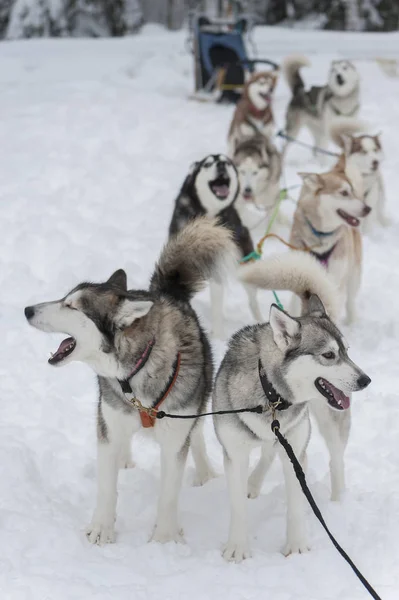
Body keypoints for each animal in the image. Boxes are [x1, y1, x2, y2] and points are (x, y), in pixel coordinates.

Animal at [25, 219, 238, 544]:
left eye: (72, 306)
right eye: (64, 299)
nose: (27, 310)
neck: (136, 369)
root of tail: (166, 292)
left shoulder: (175, 438)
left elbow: (168, 494)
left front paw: (164, 539)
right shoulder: (108, 428)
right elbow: (105, 486)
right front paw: (101, 528)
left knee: (198, 435)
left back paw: (203, 472)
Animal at [169, 152, 262, 340]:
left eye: (227, 162)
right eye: (207, 164)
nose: (221, 165)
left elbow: (217, 307)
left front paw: (218, 336)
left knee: (253, 300)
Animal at [214, 255, 370, 560]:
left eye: (347, 351)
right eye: (329, 355)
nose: (365, 380)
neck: (270, 393)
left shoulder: (295, 449)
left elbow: (297, 503)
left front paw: (296, 546)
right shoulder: (235, 453)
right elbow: (238, 507)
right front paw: (237, 548)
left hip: (329, 423)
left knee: (336, 460)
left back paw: (338, 501)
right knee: (268, 451)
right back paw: (254, 482)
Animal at [290, 156, 370, 324]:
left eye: (353, 192)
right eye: (344, 193)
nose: (367, 209)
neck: (321, 236)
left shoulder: (333, 281)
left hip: (353, 275)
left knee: (350, 301)